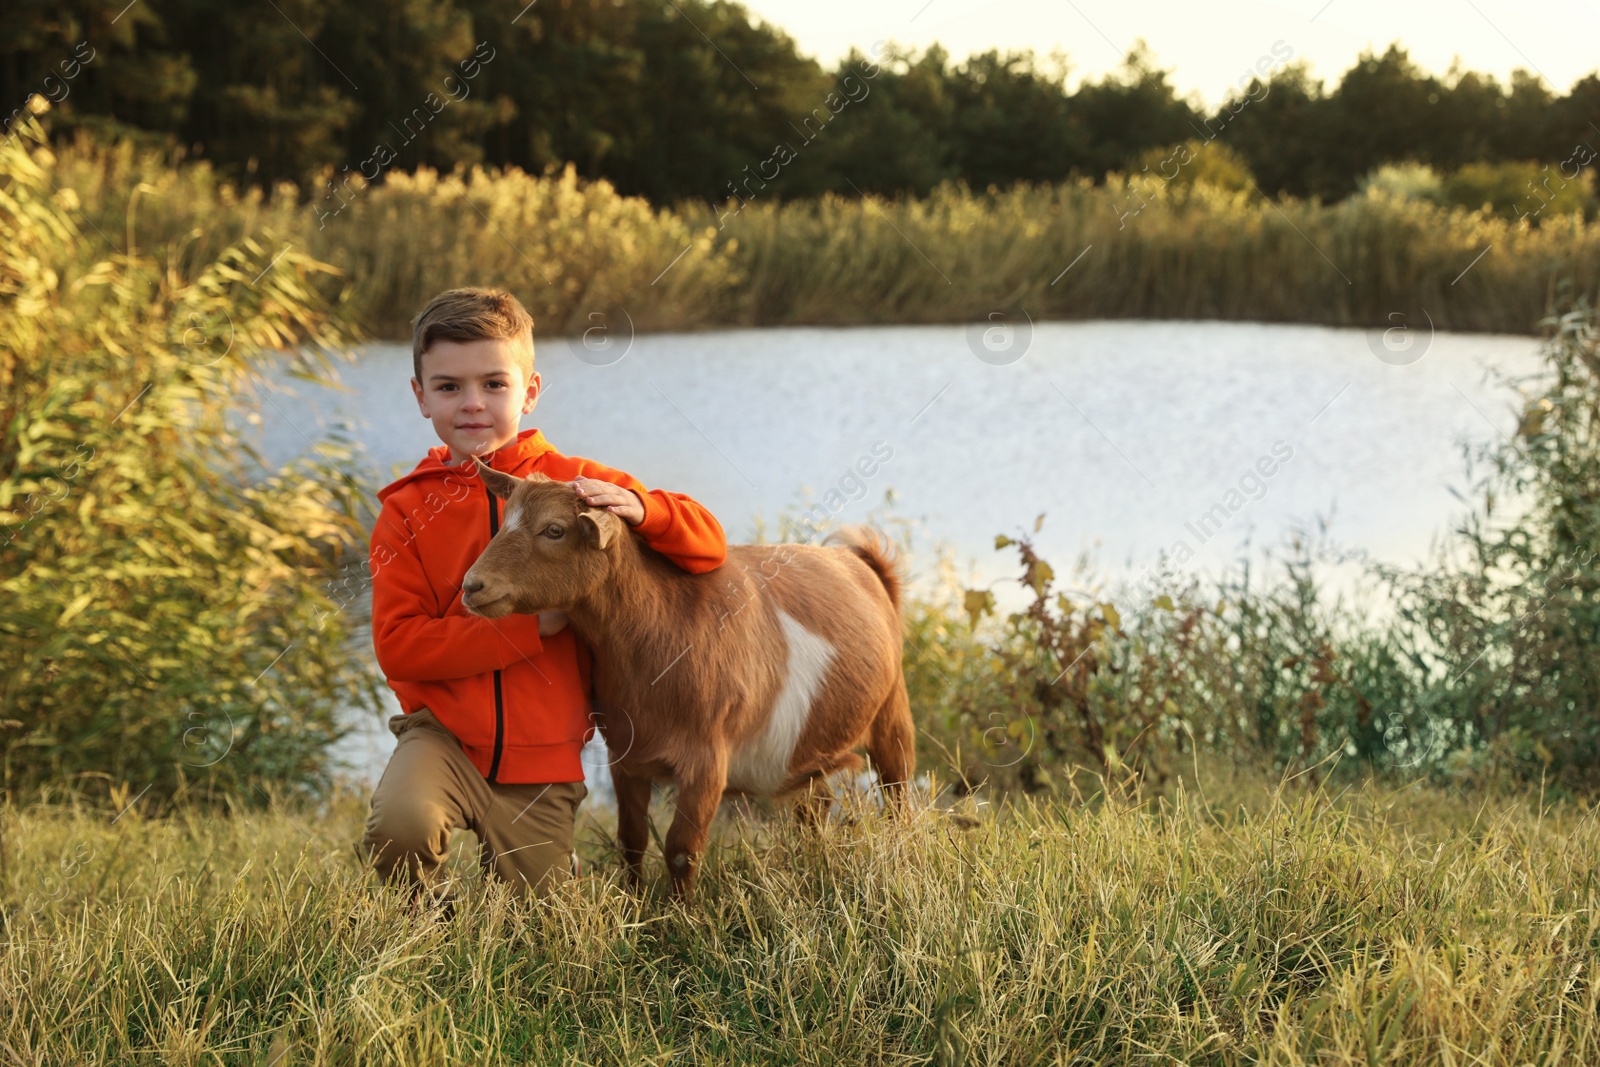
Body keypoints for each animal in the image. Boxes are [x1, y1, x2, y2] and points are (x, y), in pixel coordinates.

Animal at [460, 463, 915, 895]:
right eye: (503, 521)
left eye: (554, 529)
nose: (472, 586)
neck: (662, 627)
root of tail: (862, 563)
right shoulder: (626, 756)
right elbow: (631, 840)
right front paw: (636, 903)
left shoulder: (707, 761)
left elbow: (681, 849)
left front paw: (681, 916)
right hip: (808, 748)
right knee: (815, 807)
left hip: (893, 713)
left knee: (898, 792)